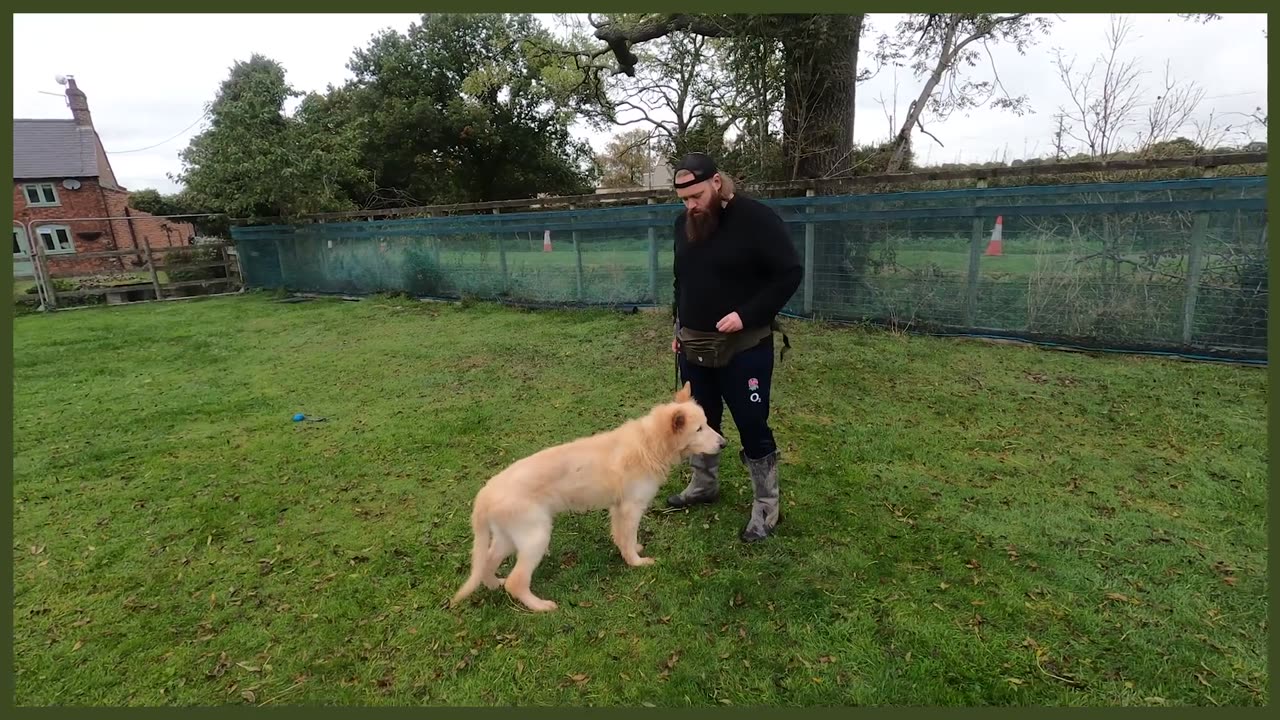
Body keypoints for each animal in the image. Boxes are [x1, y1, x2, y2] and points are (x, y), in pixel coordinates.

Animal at [450, 381, 732, 609]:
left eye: (707, 424)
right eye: (699, 429)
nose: (724, 443)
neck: (650, 443)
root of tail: (486, 492)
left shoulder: (618, 508)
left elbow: (621, 536)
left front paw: (630, 552)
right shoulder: (631, 507)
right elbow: (628, 537)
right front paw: (636, 562)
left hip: (508, 538)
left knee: (487, 563)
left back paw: (493, 584)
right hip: (536, 536)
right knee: (516, 581)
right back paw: (540, 606)